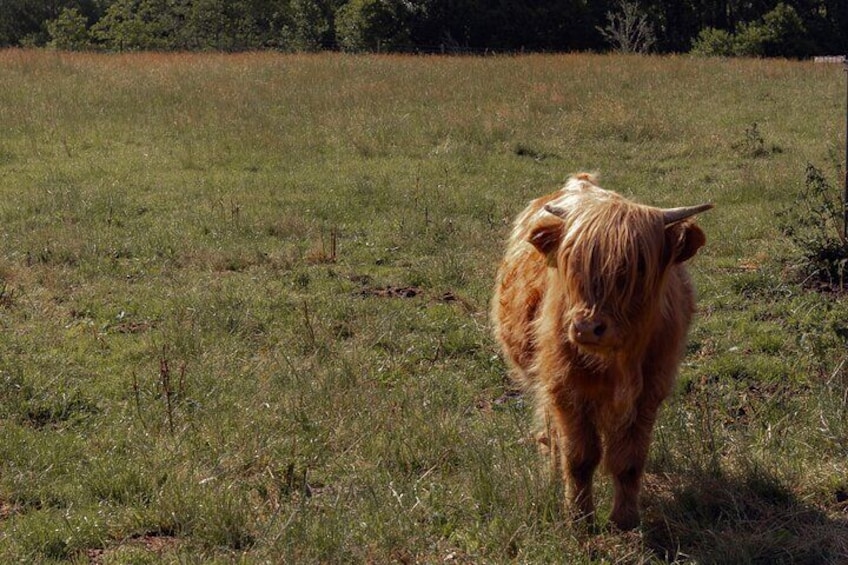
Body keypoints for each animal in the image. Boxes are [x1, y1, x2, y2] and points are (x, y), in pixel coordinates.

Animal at [490, 172, 708, 528]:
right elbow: (579, 457)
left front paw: (624, 519)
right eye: (572, 262)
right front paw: (579, 518)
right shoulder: (564, 387)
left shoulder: (650, 391)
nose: (586, 328)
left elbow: (630, 459)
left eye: (638, 266)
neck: (617, 361)